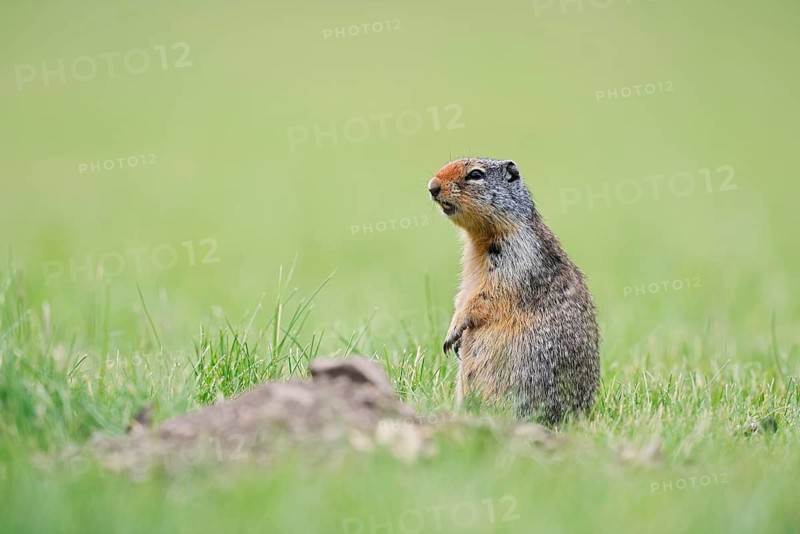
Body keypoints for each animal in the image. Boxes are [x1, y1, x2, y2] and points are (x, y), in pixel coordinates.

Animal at [427, 158, 600, 425]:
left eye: (475, 174)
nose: (432, 187)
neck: (480, 237)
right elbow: (463, 294)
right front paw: (454, 336)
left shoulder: (516, 257)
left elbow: (487, 295)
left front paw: (453, 332)